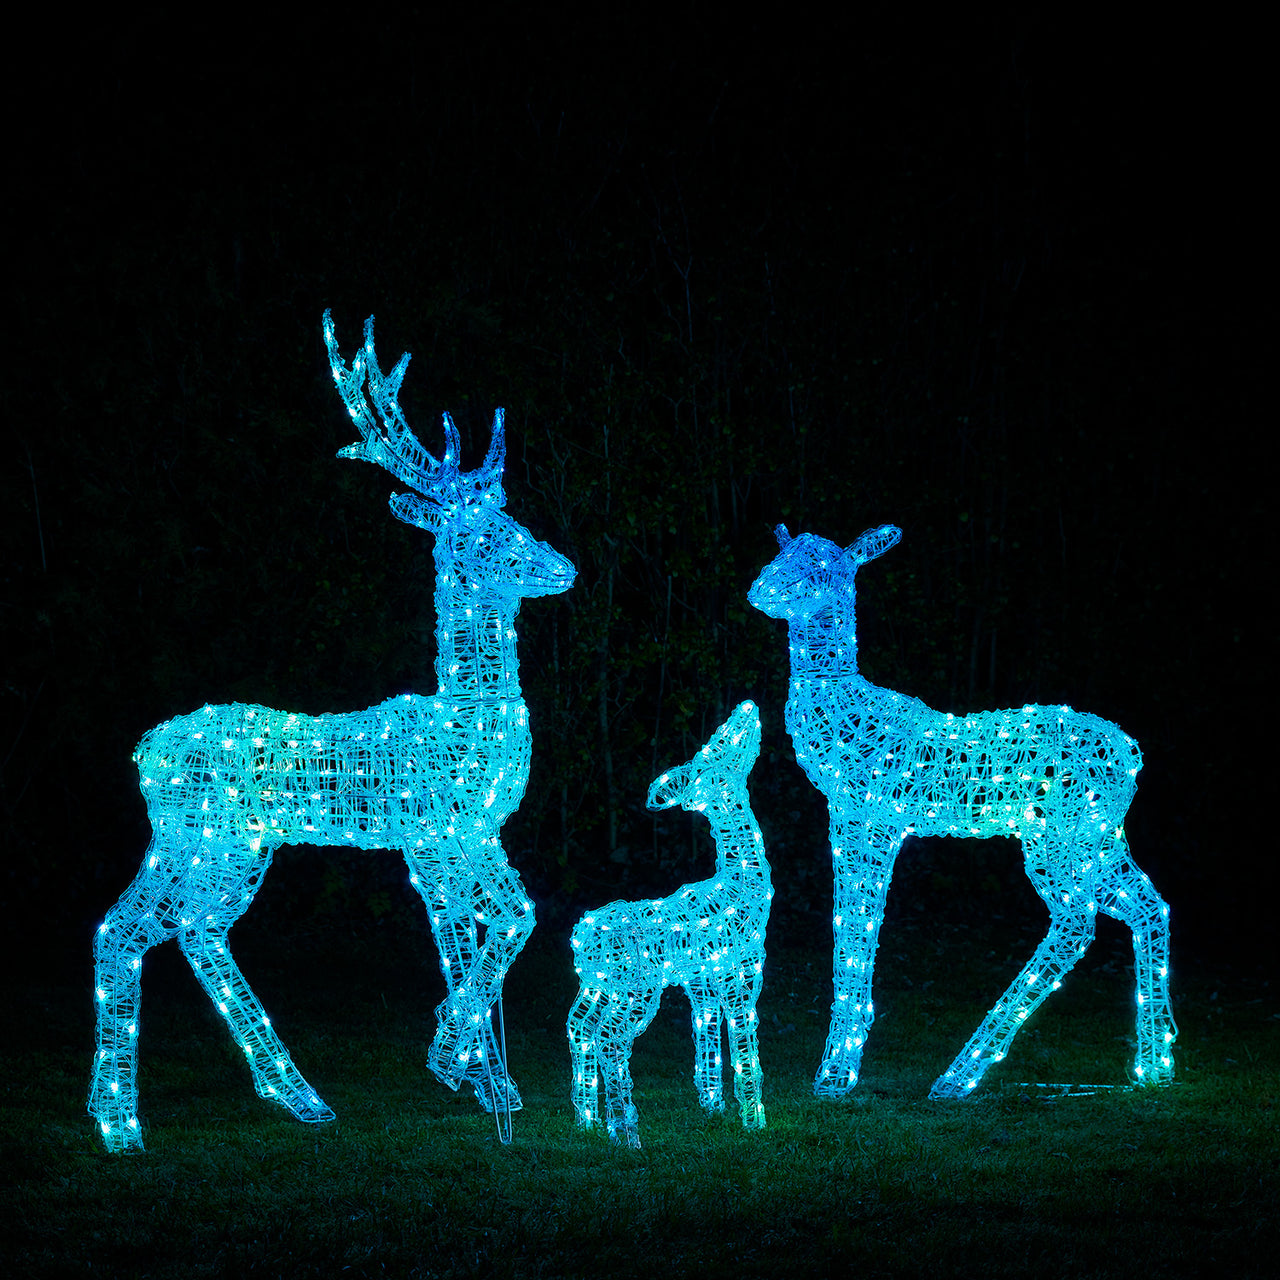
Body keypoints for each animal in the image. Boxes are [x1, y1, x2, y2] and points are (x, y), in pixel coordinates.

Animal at [94, 314, 581, 1157]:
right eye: (478, 532)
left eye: (510, 516)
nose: (561, 567)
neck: (468, 722)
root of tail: (145, 751)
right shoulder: (440, 834)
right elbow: (497, 927)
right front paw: (452, 1060)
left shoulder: (461, 838)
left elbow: (484, 929)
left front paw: (491, 1085)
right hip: (215, 838)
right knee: (165, 928)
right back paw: (171, 1116)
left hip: (205, 841)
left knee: (150, 930)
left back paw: (177, 1111)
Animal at [747, 522, 1177, 1100]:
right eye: (782, 551)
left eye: (824, 564)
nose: (763, 588)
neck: (848, 713)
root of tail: (1130, 753)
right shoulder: (849, 819)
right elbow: (849, 930)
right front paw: (841, 1065)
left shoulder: (873, 820)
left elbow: (857, 929)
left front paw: (836, 1074)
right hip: (1098, 834)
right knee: (1147, 905)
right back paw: (1155, 1068)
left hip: (1059, 837)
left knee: (1076, 922)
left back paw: (958, 1074)